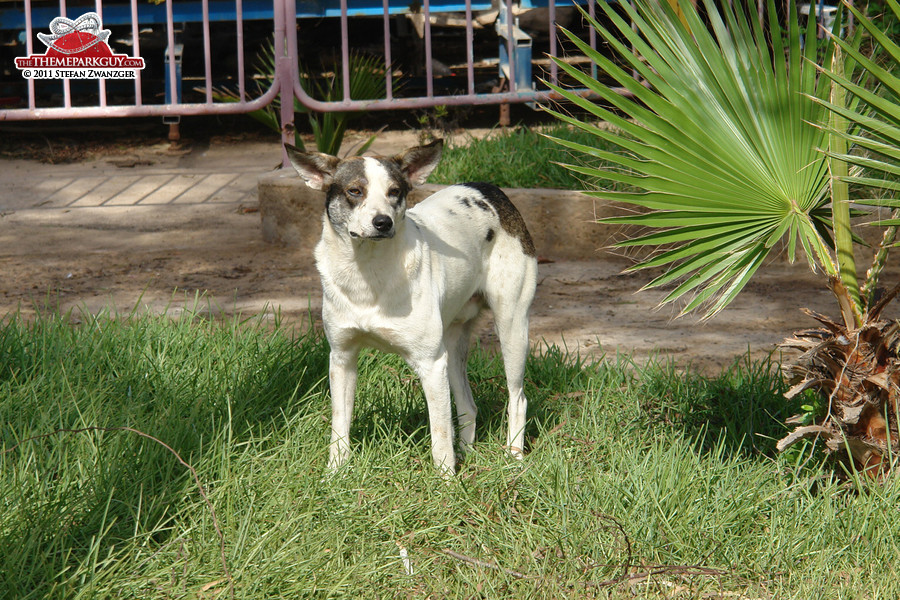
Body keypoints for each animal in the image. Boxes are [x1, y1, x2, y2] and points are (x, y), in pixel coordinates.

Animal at [284, 139, 536, 474]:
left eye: (395, 191)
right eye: (355, 191)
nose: (383, 222)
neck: (368, 273)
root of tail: (488, 188)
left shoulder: (431, 364)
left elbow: (439, 434)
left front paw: (447, 480)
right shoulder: (341, 357)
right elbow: (339, 426)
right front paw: (335, 473)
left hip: (511, 327)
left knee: (517, 398)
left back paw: (513, 457)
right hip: (452, 344)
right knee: (468, 406)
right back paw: (467, 452)